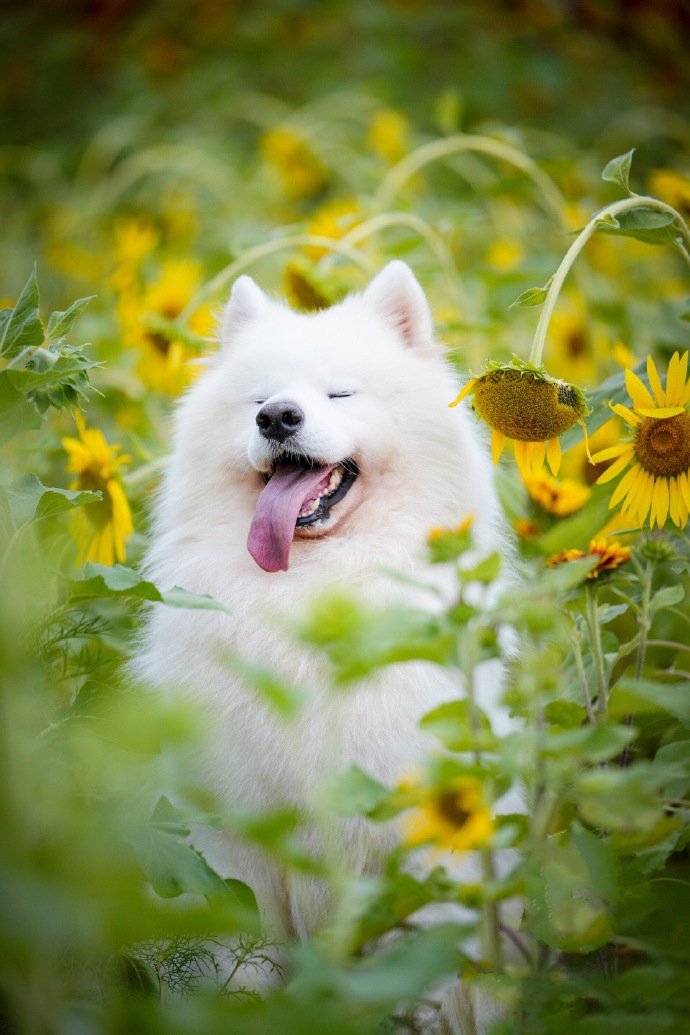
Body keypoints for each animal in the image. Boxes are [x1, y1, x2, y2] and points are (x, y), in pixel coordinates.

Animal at [133, 264, 513, 1026]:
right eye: (257, 399)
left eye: (340, 392)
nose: (278, 417)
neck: (310, 591)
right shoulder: (233, 845)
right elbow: (237, 966)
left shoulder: (418, 846)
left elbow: (417, 977)